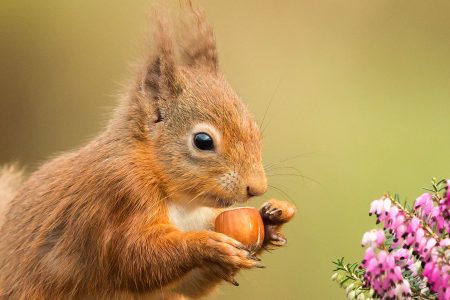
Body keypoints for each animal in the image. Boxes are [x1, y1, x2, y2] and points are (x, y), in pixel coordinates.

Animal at [0, 2, 296, 300]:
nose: (257, 188)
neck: (184, 203)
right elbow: (134, 261)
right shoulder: (120, 192)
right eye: (203, 141)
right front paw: (206, 245)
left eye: (255, 128)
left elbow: (188, 285)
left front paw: (272, 218)